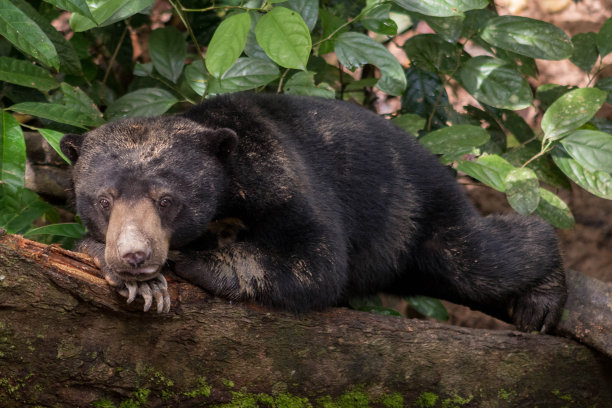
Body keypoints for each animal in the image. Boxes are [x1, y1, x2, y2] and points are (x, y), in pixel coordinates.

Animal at [59, 92, 568, 332]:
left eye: (167, 201)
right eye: (103, 200)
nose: (134, 255)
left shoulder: (278, 171)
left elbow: (316, 260)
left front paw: (184, 264)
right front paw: (136, 282)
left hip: (419, 207)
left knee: (482, 258)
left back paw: (541, 301)